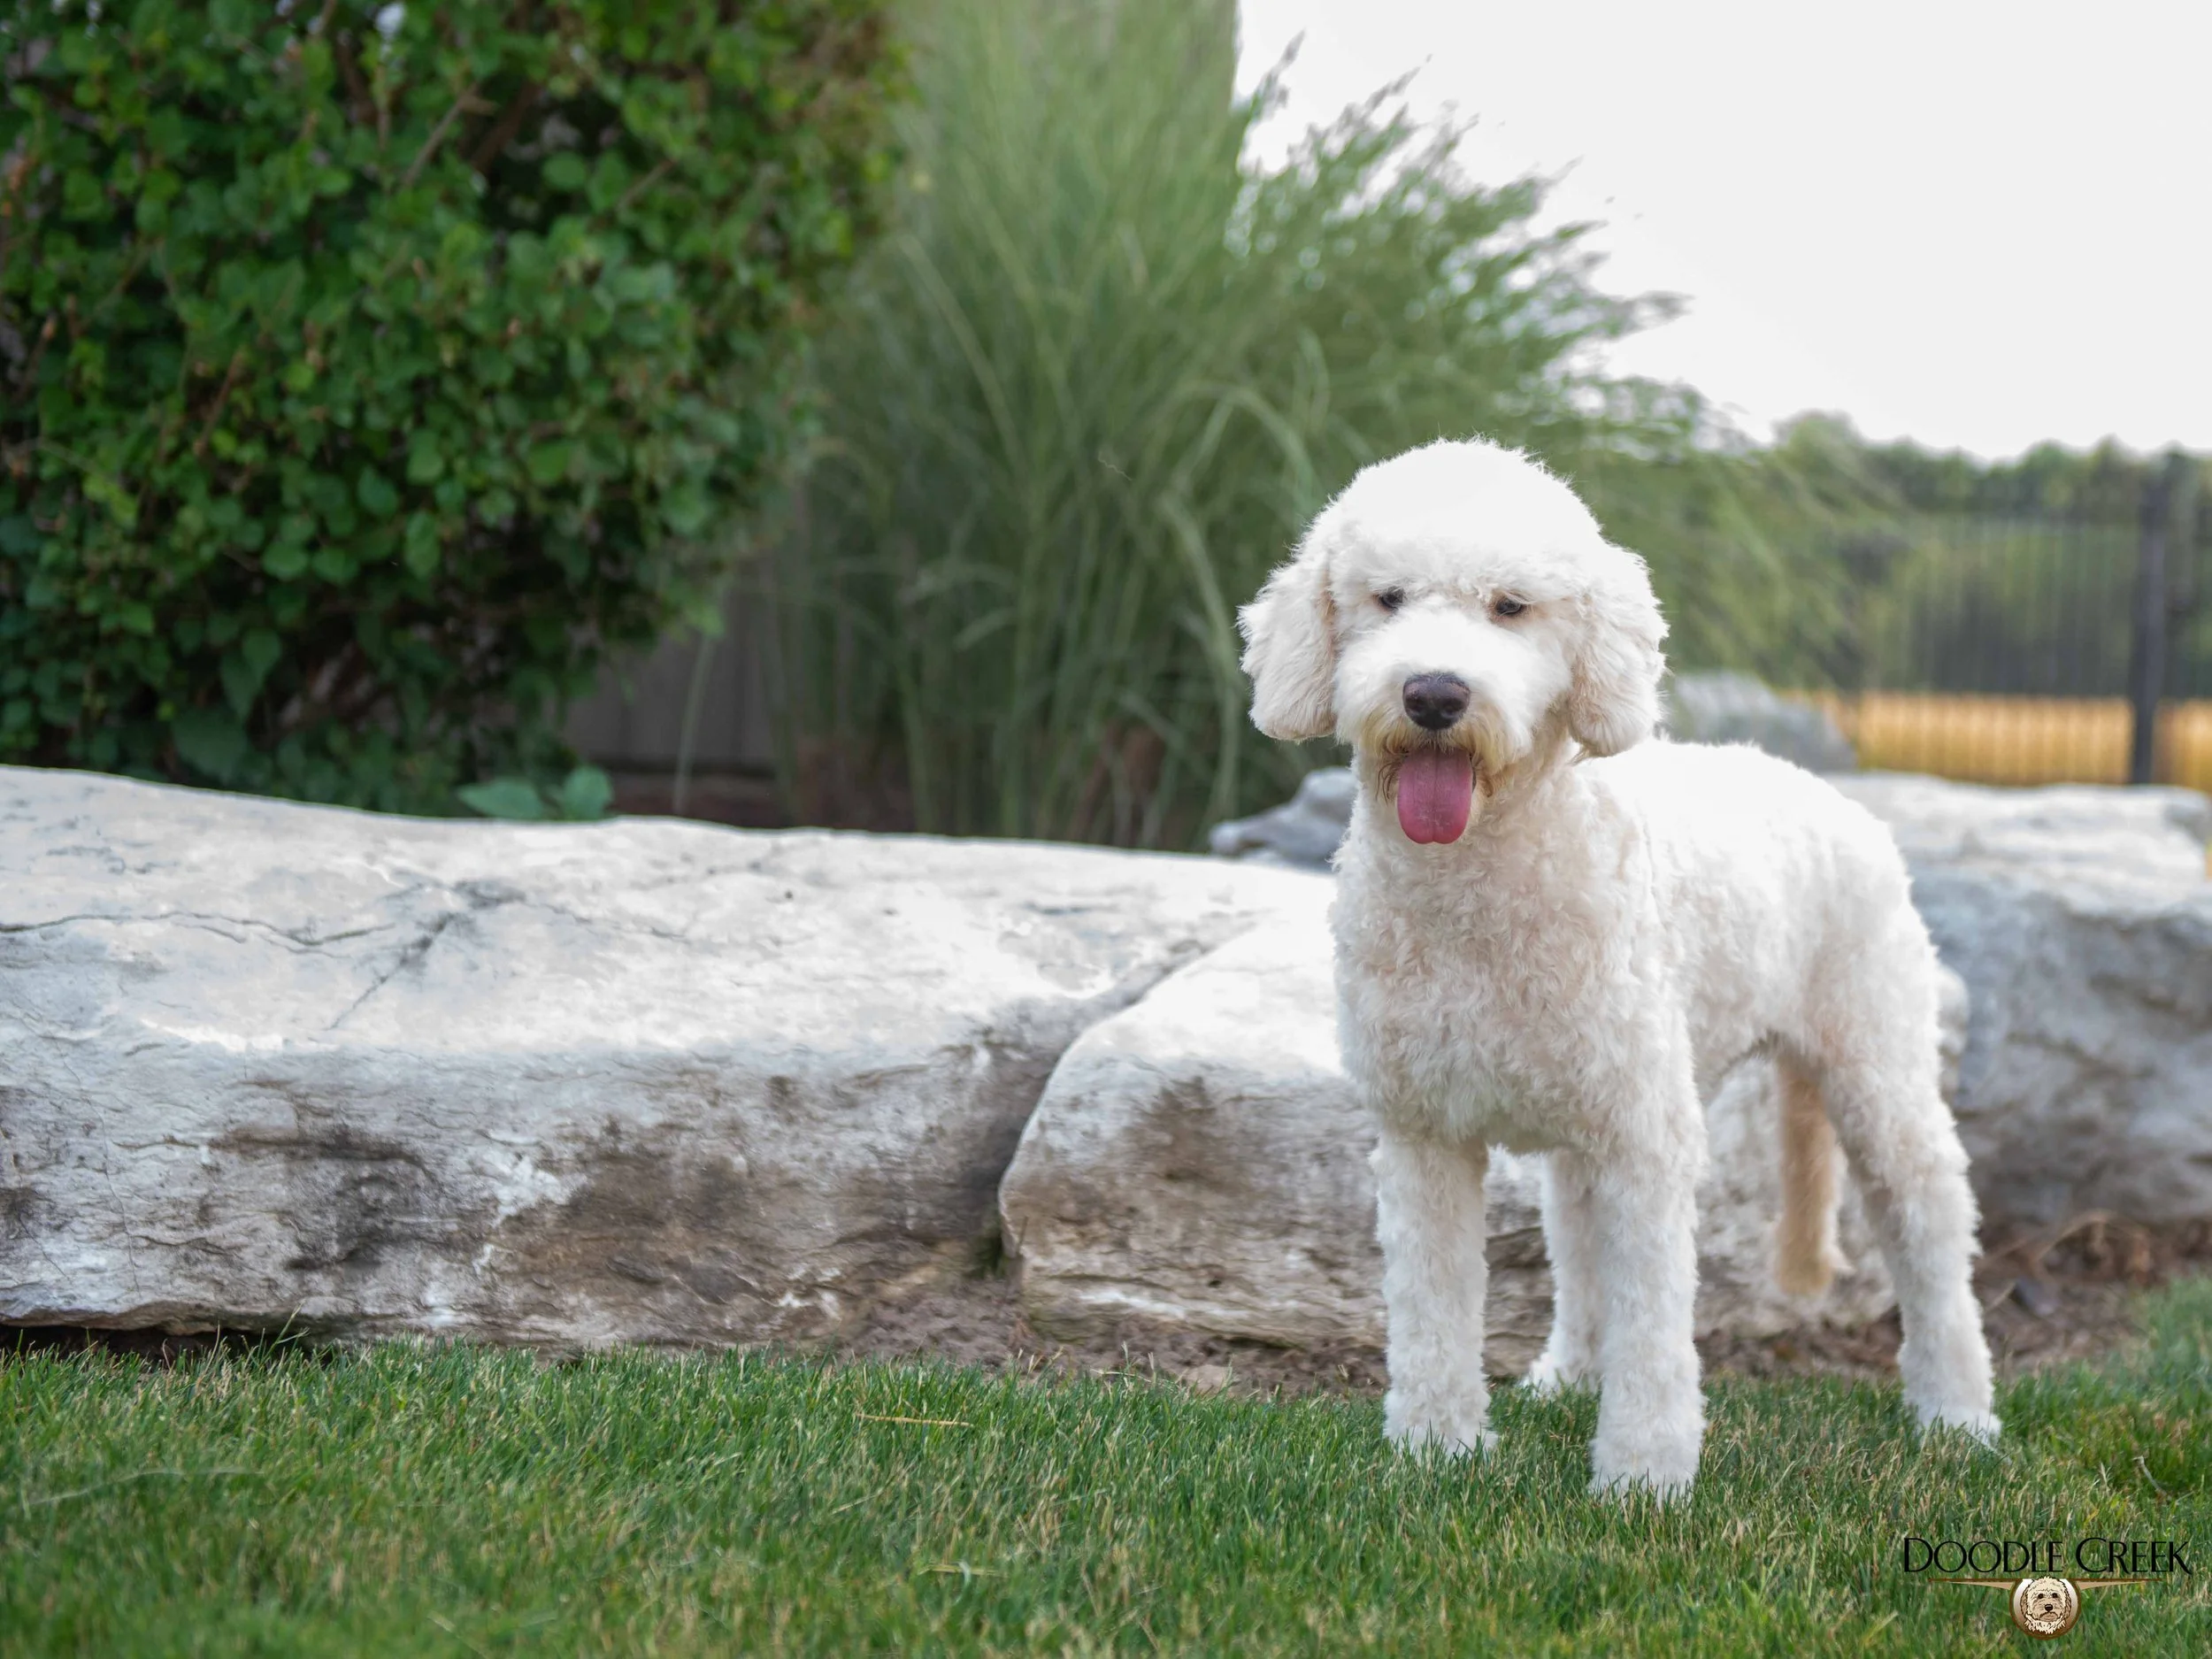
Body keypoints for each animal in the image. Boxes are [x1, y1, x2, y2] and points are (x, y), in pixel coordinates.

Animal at [1237, 438, 1997, 1496]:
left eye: (1510, 606)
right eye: (1385, 598)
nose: (1433, 695)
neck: (1483, 887)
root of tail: (1831, 795)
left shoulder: (1646, 1138)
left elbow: (1655, 1323)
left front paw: (1642, 1478)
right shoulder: (1424, 1133)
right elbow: (1433, 1309)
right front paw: (1437, 1450)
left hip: (1874, 1063)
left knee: (1930, 1228)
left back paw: (1957, 1414)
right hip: (1588, 1114)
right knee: (1578, 1244)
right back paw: (1567, 1375)